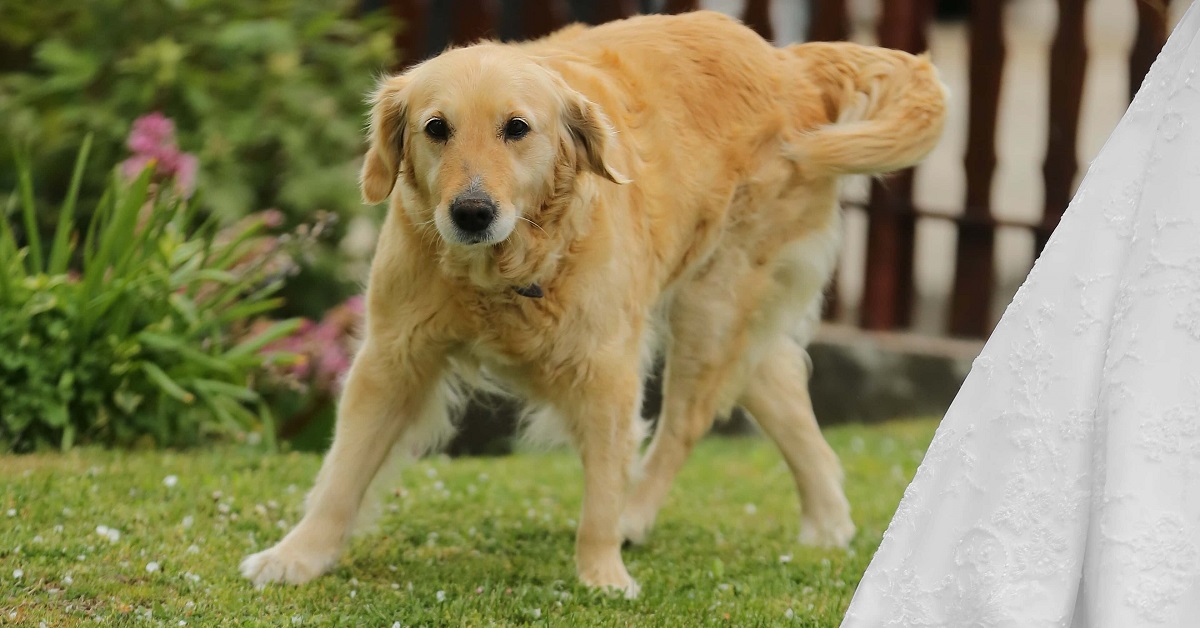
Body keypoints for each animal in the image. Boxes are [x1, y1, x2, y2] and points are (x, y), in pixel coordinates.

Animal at [238, 11, 940, 600]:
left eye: (517, 128)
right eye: (436, 129)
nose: (471, 213)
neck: (506, 271)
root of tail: (785, 61)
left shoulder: (606, 369)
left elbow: (602, 488)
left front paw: (602, 574)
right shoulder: (394, 356)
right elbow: (343, 472)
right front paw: (297, 556)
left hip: (710, 307)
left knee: (684, 426)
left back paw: (638, 517)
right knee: (784, 387)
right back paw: (828, 522)